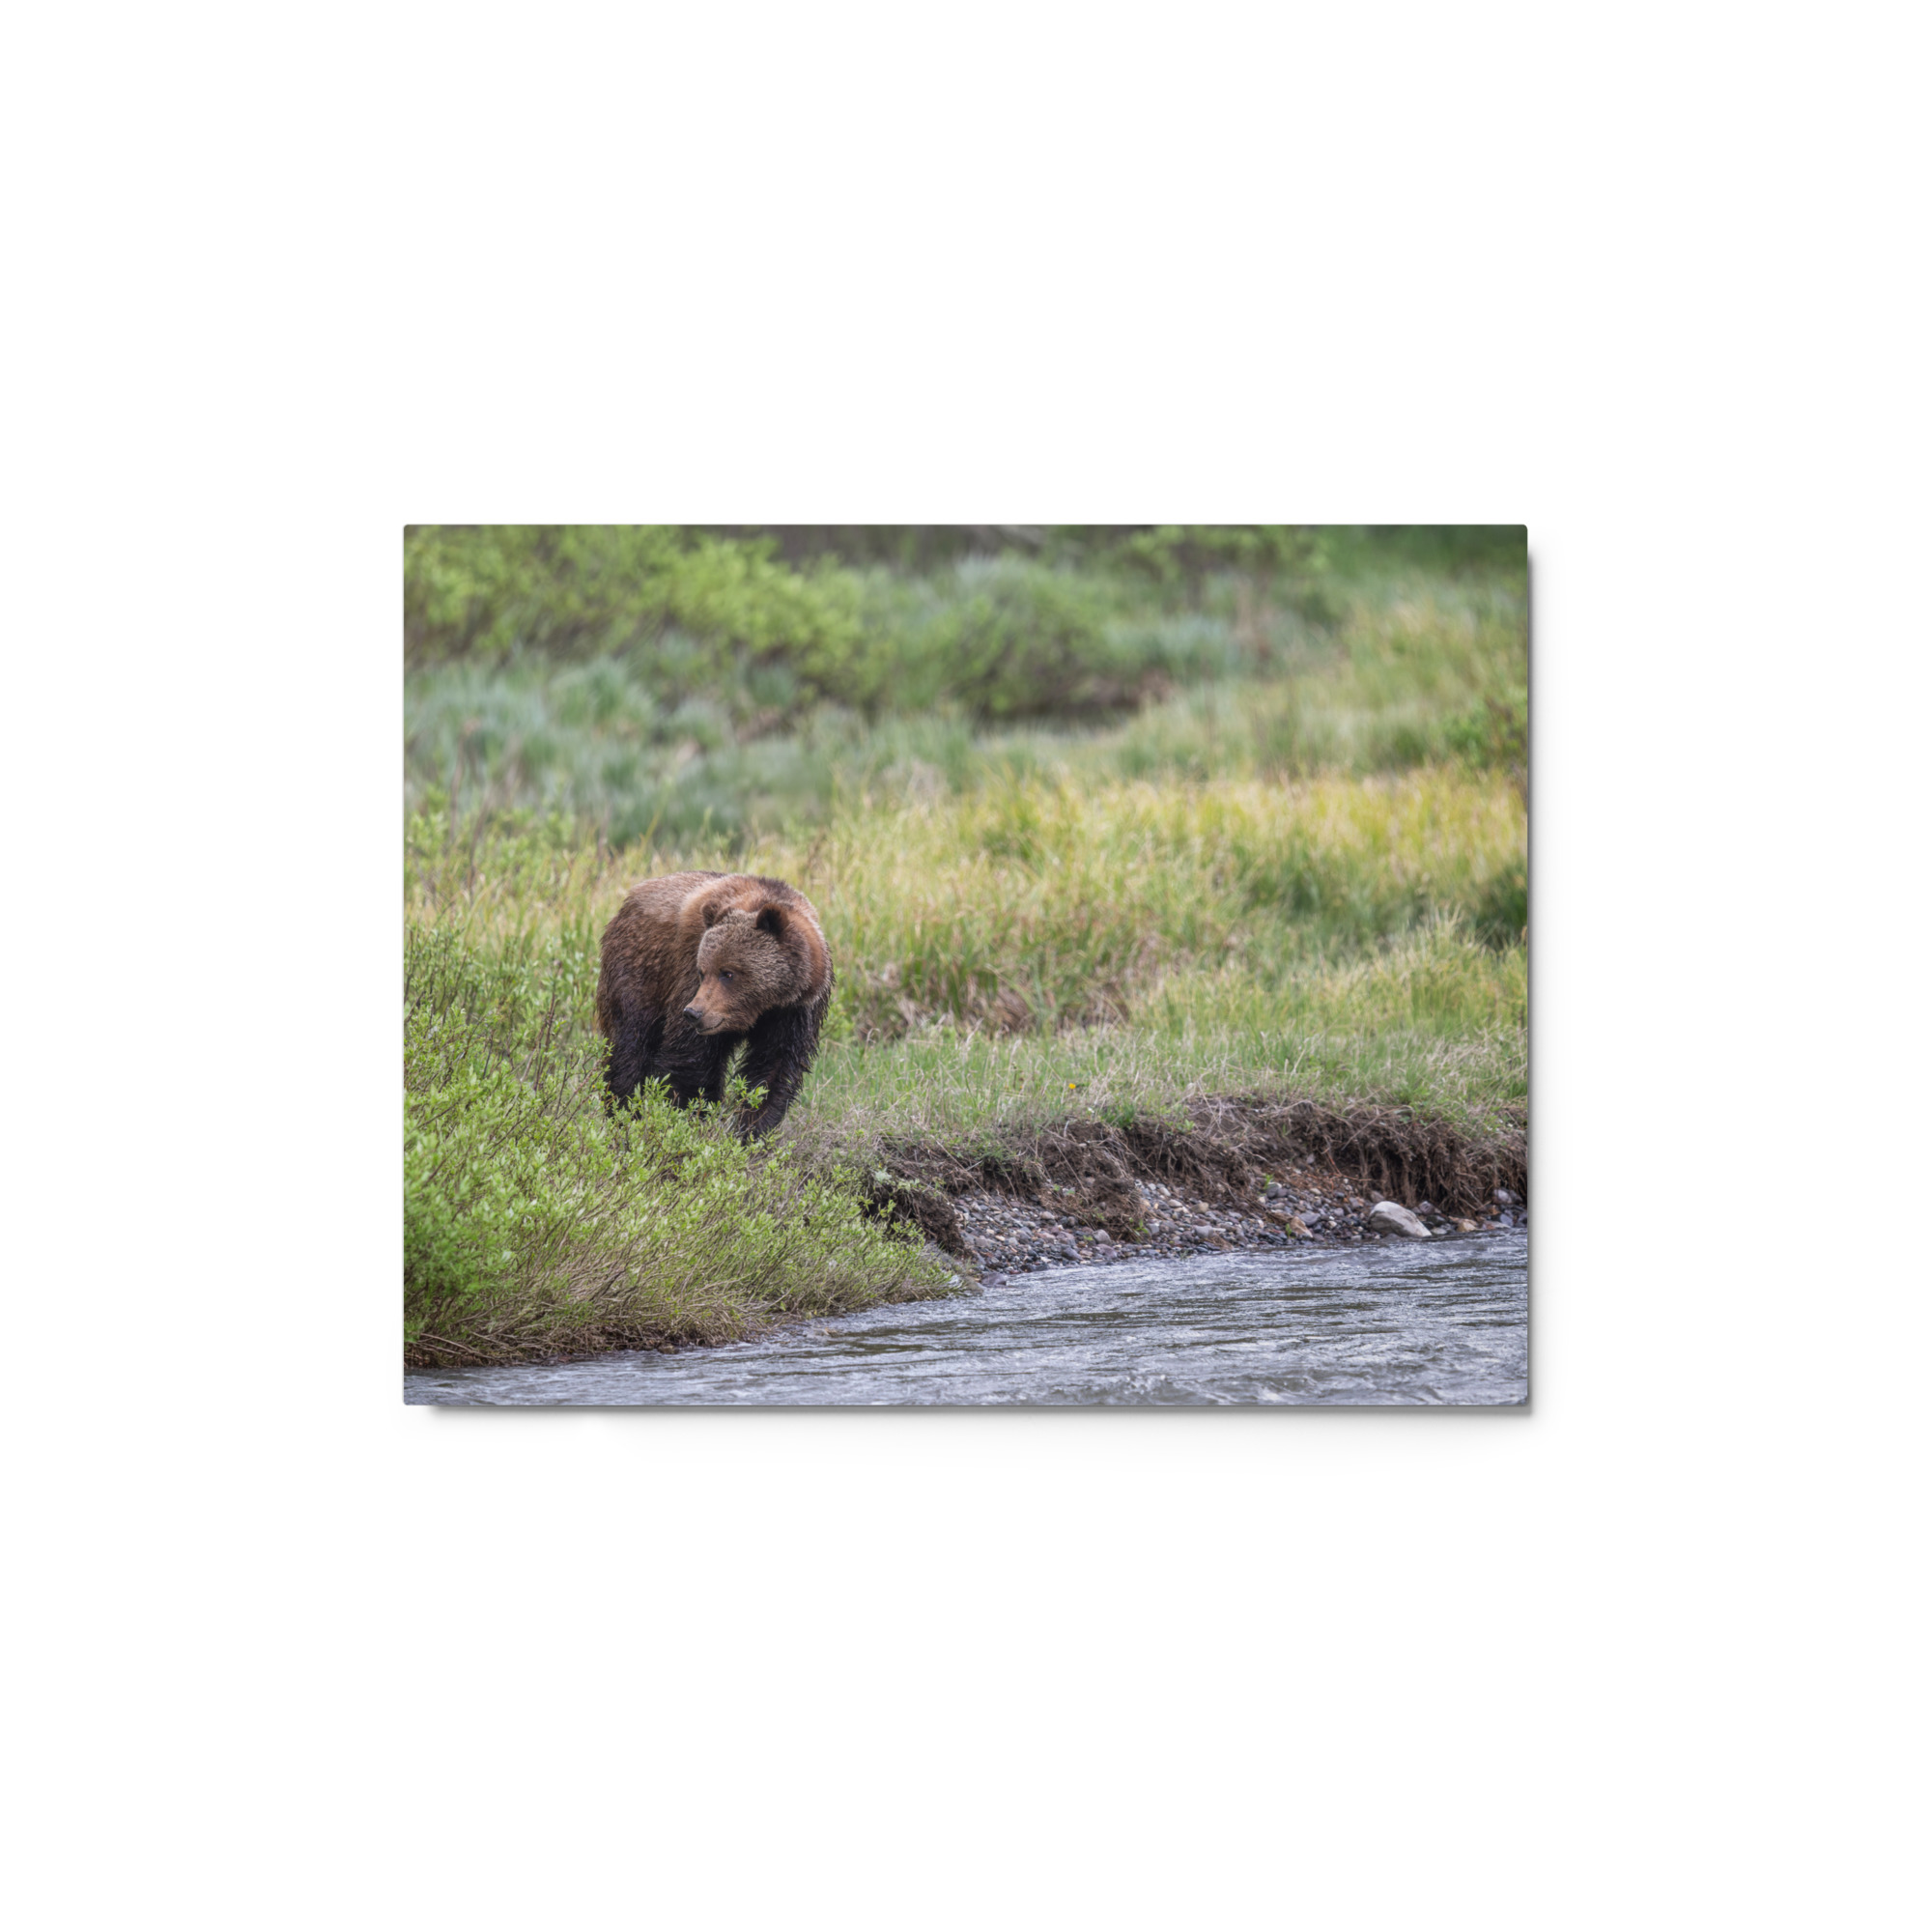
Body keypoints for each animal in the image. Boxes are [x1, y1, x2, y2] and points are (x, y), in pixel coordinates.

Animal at [594, 871, 833, 1137]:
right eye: (703, 971)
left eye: (728, 973)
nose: (693, 1013)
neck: (763, 1007)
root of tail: (630, 898)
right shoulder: (688, 976)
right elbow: (691, 1060)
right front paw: (687, 1118)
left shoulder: (795, 1012)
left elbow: (773, 1070)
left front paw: (751, 1130)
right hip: (640, 971)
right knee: (630, 1046)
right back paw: (624, 1114)